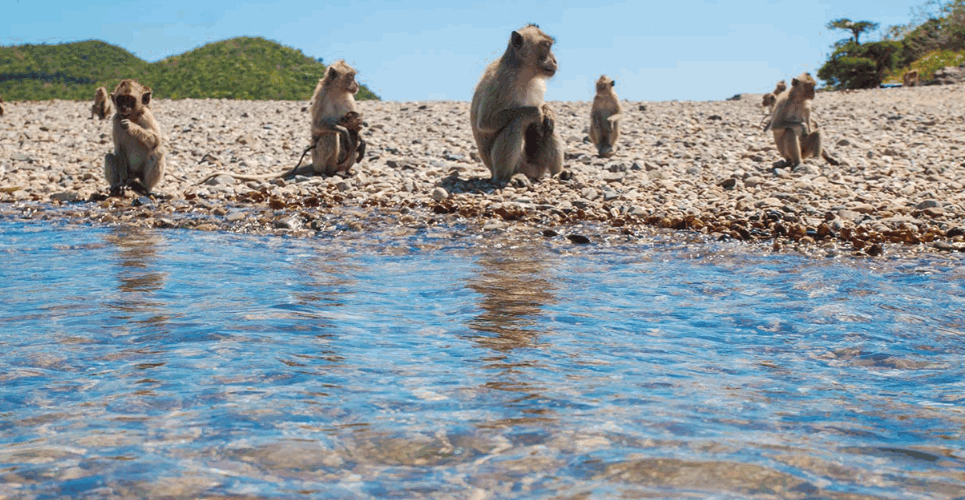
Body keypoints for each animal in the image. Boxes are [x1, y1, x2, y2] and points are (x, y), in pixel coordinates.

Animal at [468, 23, 560, 184]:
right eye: (545, 46)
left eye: (549, 45)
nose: (555, 61)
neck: (523, 73)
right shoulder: (502, 81)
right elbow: (485, 123)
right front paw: (536, 111)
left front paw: (547, 110)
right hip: (517, 165)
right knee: (515, 122)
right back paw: (508, 177)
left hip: (536, 164)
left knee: (549, 128)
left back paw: (560, 174)